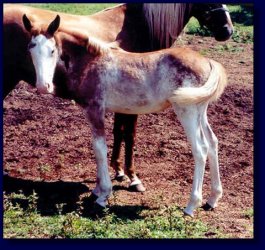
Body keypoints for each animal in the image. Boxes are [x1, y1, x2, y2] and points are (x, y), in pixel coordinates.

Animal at [3, 2, 231, 191]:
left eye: (53, 51)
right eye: (29, 50)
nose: (227, 30)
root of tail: (207, 62)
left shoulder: (106, 108)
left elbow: (115, 139)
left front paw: (119, 181)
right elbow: (116, 137)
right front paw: (118, 177)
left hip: (190, 110)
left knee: (204, 147)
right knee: (209, 144)